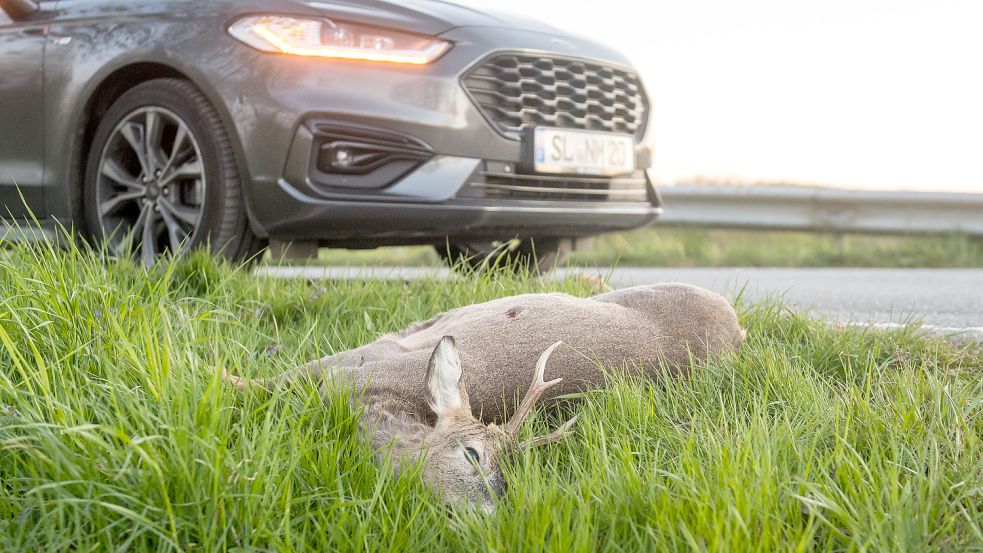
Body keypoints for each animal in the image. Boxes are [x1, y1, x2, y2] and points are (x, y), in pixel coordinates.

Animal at [223, 283, 746, 513]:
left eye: (511, 478)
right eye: (472, 454)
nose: (494, 515)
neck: (376, 396)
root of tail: (738, 327)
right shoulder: (355, 361)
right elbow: (255, 382)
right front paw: (216, 370)